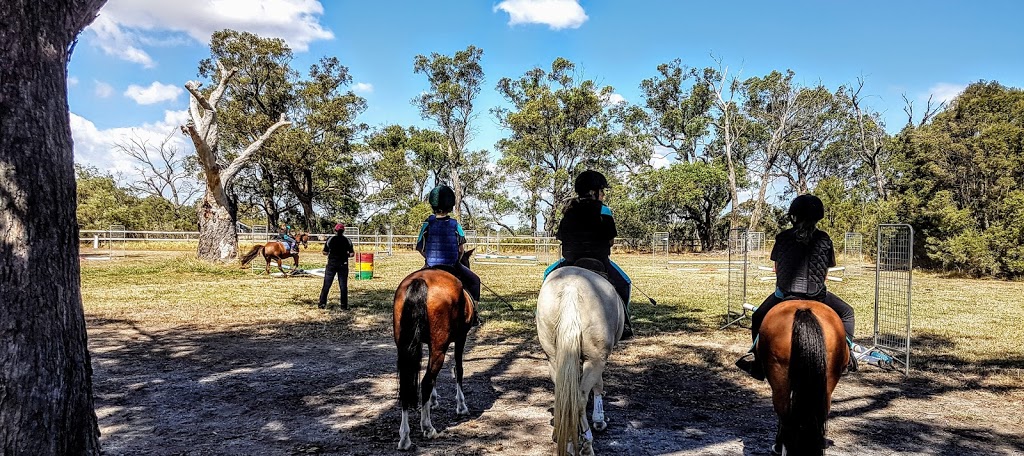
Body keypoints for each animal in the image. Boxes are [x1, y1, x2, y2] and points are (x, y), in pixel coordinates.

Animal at [393, 246, 477, 448]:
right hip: (440, 347)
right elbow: (458, 369)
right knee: (425, 382)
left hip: (405, 346)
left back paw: (405, 437)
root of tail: (419, 282)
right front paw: (461, 406)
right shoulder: (460, 338)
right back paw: (427, 427)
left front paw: (433, 400)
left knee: (408, 385)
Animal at [536, 264, 622, 452]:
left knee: (564, 396)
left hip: (554, 358)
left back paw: (565, 438)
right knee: (579, 399)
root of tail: (571, 287)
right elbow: (598, 385)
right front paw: (599, 420)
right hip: (595, 360)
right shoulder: (598, 359)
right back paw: (587, 444)